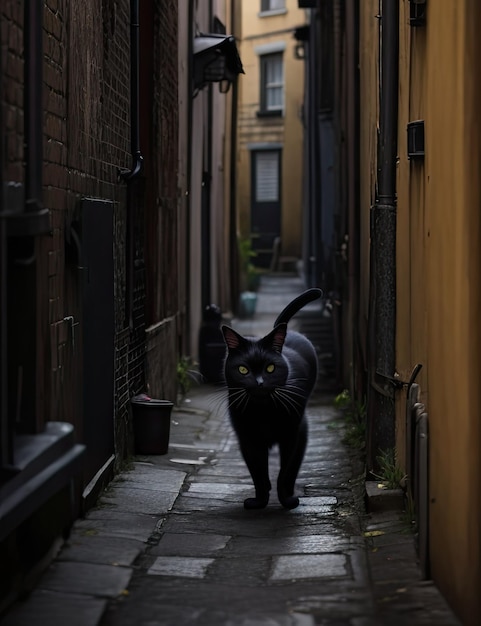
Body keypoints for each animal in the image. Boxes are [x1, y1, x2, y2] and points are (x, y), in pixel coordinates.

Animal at [222, 288, 320, 508]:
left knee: (293, 466)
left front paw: (286, 500)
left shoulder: (290, 435)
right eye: (243, 369)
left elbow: (283, 472)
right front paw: (259, 501)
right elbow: (257, 473)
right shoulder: (247, 439)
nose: (259, 382)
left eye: (270, 368)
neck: (263, 412)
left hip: (301, 428)